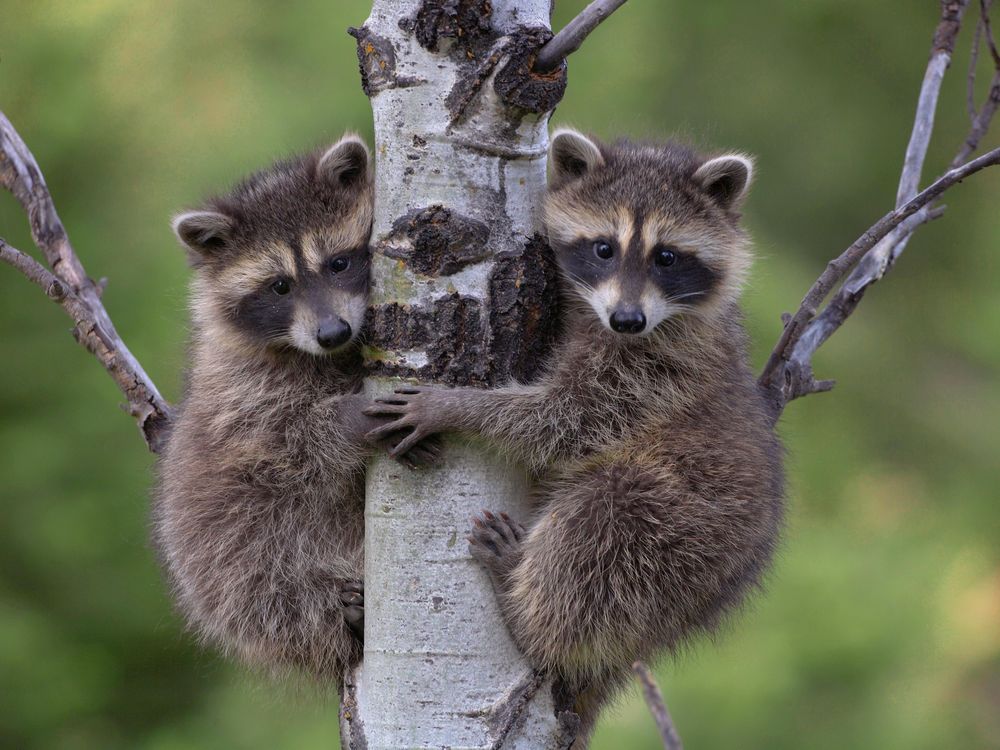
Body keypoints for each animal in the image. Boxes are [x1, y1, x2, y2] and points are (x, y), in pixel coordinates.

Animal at [151, 137, 438, 688]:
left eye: (338, 264)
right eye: (279, 287)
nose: (332, 332)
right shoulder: (242, 392)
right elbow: (284, 446)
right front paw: (350, 418)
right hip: (220, 556)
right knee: (267, 588)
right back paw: (339, 616)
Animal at [366, 128, 780, 740]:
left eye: (667, 257)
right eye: (603, 248)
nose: (628, 320)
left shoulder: (657, 371)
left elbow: (565, 420)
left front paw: (458, 407)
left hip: (685, 534)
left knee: (602, 525)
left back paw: (525, 609)